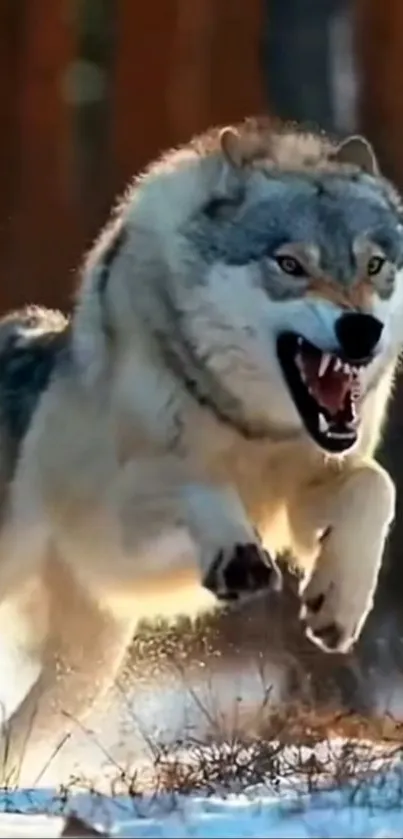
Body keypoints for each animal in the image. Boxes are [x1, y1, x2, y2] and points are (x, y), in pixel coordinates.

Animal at [0, 117, 401, 782]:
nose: (361, 329)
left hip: (84, 672)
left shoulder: (304, 496)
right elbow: (196, 483)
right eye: (290, 264)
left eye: (373, 265)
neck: (246, 424)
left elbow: (375, 486)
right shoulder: (119, 522)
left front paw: (338, 606)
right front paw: (236, 556)